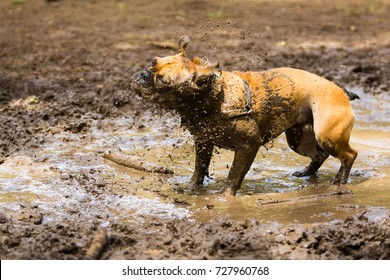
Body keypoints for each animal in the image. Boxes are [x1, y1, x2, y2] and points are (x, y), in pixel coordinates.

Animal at [132, 36, 360, 196]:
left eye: (164, 81)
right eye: (153, 61)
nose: (143, 74)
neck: (214, 97)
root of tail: (341, 91)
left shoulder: (248, 146)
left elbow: (235, 173)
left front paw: (224, 195)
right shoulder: (203, 141)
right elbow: (199, 167)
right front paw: (192, 187)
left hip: (327, 134)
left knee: (349, 155)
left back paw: (340, 181)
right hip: (298, 138)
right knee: (319, 154)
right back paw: (306, 173)